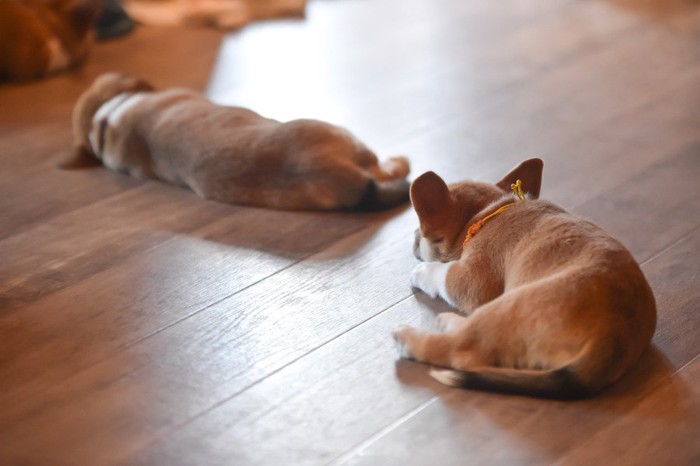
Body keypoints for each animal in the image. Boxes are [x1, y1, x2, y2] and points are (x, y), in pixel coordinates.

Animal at [396, 158, 660, 398]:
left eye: (420, 232)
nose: (413, 238)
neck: (484, 214)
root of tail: (611, 337)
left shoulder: (468, 279)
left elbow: (442, 272)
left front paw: (421, 272)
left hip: (505, 307)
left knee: (462, 350)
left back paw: (407, 337)